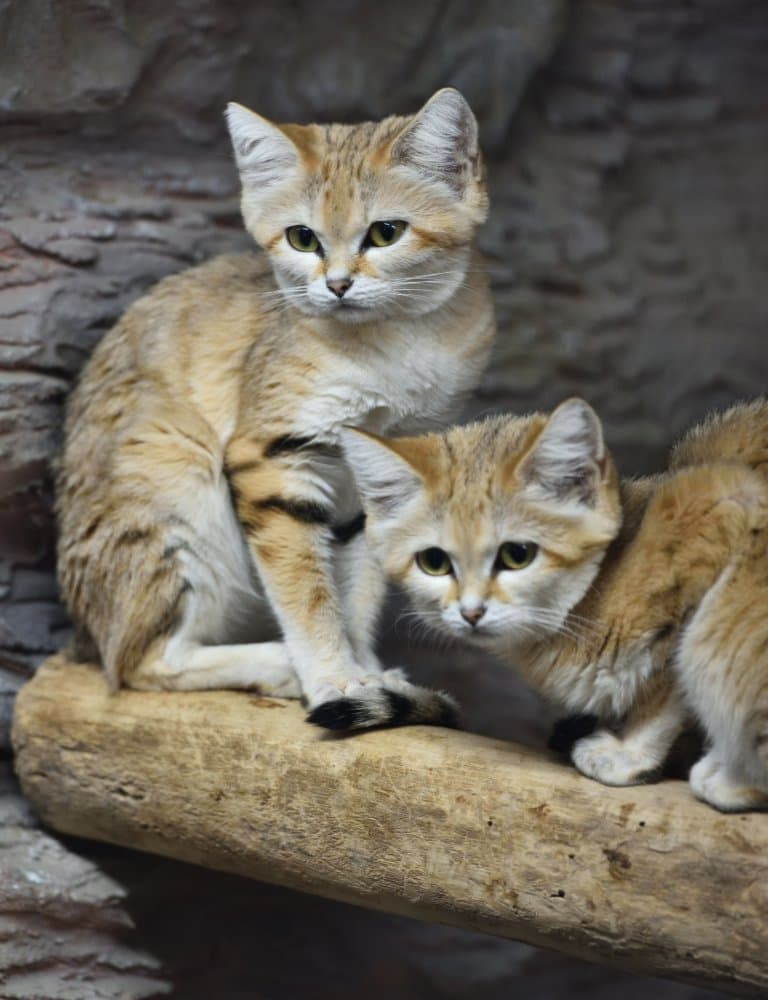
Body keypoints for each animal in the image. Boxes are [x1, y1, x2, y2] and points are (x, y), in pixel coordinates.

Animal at [57, 88, 496, 728]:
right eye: (302, 239)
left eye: (386, 232)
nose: (337, 285)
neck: (393, 347)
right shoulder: (273, 459)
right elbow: (306, 592)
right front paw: (334, 677)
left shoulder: (383, 480)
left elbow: (355, 590)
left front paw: (365, 670)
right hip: (176, 478)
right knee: (138, 663)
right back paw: (277, 664)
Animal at [344, 394, 768, 808]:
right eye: (434, 562)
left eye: (517, 555)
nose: (471, 612)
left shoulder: (724, 506)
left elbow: (667, 693)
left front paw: (632, 753)